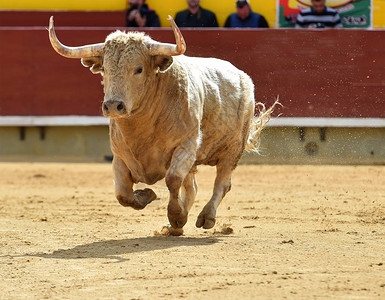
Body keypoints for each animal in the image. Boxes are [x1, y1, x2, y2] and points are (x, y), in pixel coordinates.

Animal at [48, 16, 276, 231]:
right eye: (104, 68)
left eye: (139, 69)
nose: (113, 106)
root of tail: (243, 77)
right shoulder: (120, 156)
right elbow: (122, 193)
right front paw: (148, 195)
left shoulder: (186, 146)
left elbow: (172, 179)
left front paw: (176, 216)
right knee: (192, 186)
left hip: (232, 150)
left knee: (222, 183)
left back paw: (206, 217)